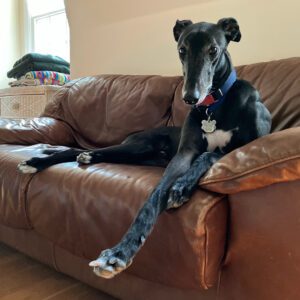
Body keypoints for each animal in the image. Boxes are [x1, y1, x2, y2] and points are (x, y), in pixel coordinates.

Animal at [17, 17, 274, 278]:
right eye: (182, 50)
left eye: (213, 50)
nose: (190, 98)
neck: (214, 106)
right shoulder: (183, 154)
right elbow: (155, 195)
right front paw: (119, 252)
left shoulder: (244, 146)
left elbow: (209, 155)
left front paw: (181, 186)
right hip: (138, 147)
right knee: (75, 150)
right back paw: (36, 162)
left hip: (138, 153)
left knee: (84, 152)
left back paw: (85, 157)